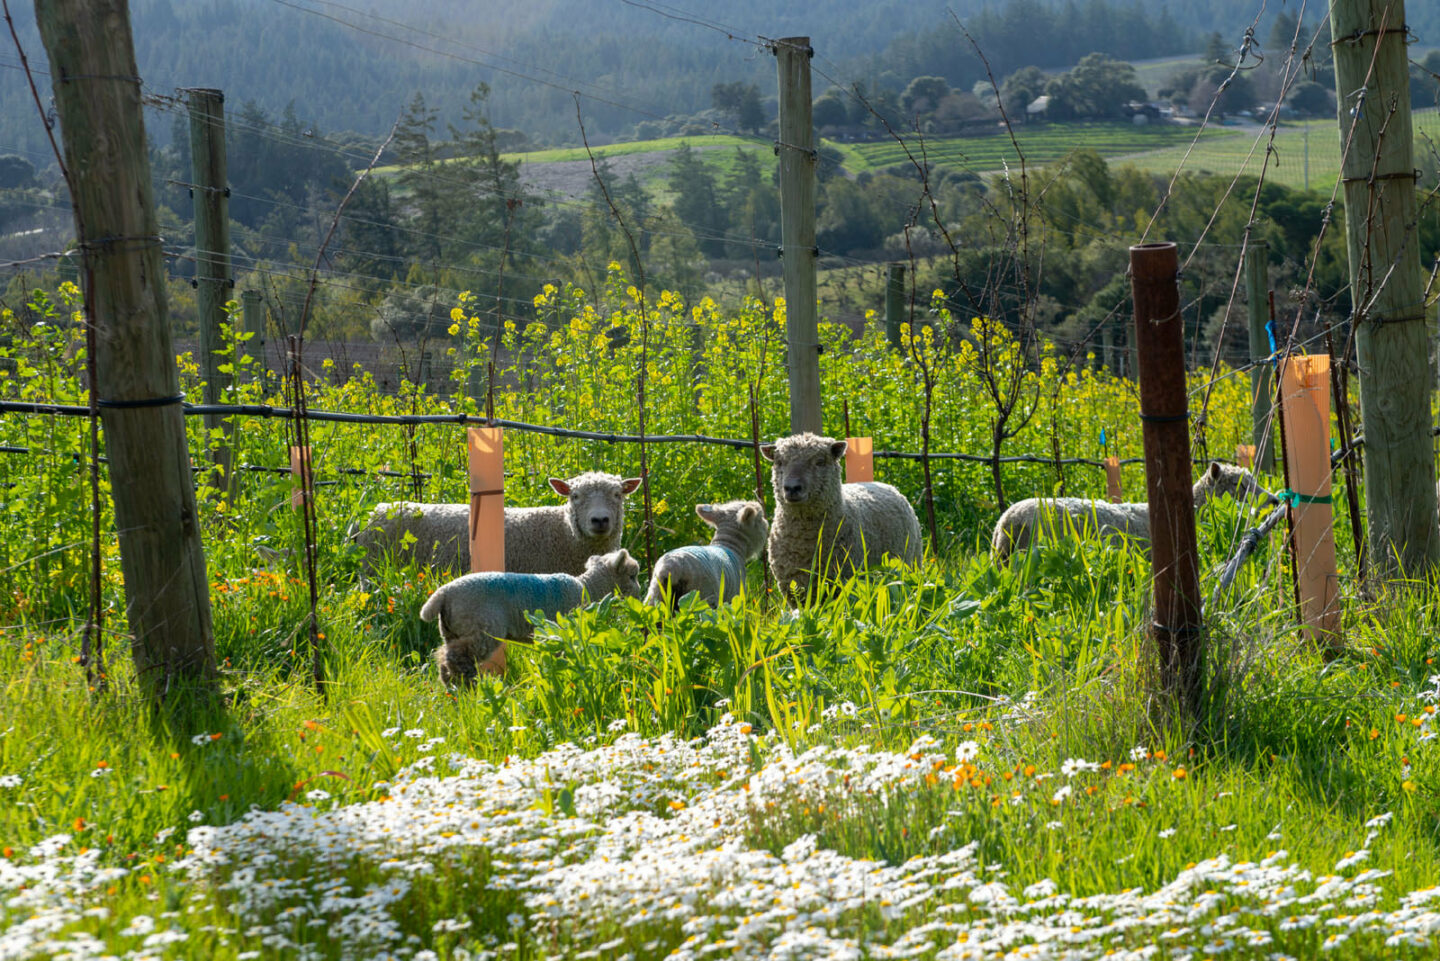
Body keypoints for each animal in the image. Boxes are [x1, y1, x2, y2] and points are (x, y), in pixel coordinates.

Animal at [354, 472, 642, 576]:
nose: (600, 520)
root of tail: (376, 511)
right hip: (373, 569)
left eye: (618, 494)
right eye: (575, 496)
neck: (564, 533)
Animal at [417, 547, 642, 682]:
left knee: (445, 657)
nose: (640, 593)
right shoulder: (563, 633)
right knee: (456, 658)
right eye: (633, 576)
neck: (588, 588)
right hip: (480, 628)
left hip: (451, 630)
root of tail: (443, 593)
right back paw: (469, 688)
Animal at [754, 435, 921, 605]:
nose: (792, 488)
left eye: (820, 462)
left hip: (911, 562)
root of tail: (886, 485)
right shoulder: (793, 590)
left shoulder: (843, 582)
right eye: (779, 462)